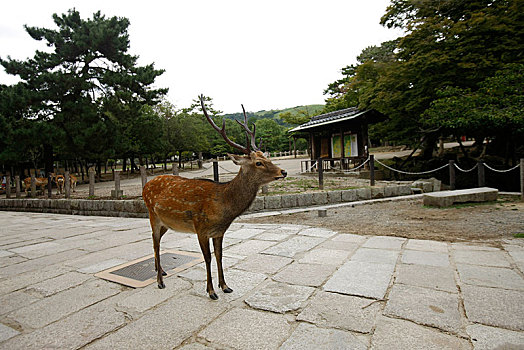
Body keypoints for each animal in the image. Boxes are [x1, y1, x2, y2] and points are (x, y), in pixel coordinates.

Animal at [142, 94, 286, 300]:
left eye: (268, 157)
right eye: (259, 162)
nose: (284, 171)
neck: (223, 208)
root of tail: (145, 186)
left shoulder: (219, 231)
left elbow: (219, 255)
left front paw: (225, 286)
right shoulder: (200, 227)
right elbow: (207, 257)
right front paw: (211, 291)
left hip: (166, 222)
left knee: (157, 241)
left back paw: (160, 270)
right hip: (152, 215)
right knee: (154, 242)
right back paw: (160, 282)